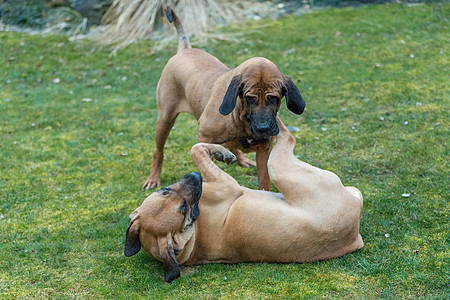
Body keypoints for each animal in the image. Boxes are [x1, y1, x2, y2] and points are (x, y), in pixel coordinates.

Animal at [125, 119, 364, 282]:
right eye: (183, 208)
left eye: (165, 190)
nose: (194, 177)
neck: (192, 236)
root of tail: (352, 236)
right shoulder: (226, 185)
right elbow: (196, 149)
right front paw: (221, 152)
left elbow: (197, 149)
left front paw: (220, 152)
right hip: (280, 168)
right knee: (287, 138)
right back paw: (278, 123)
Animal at [144, 8, 306, 190]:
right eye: (250, 99)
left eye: (273, 98)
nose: (263, 127)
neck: (242, 119)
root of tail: (185, 49)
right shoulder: (205, 135)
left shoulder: (265, 149)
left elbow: (264, 181)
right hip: (165, 120)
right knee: (159, 152)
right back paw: (153, 178)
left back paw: (240, 158)